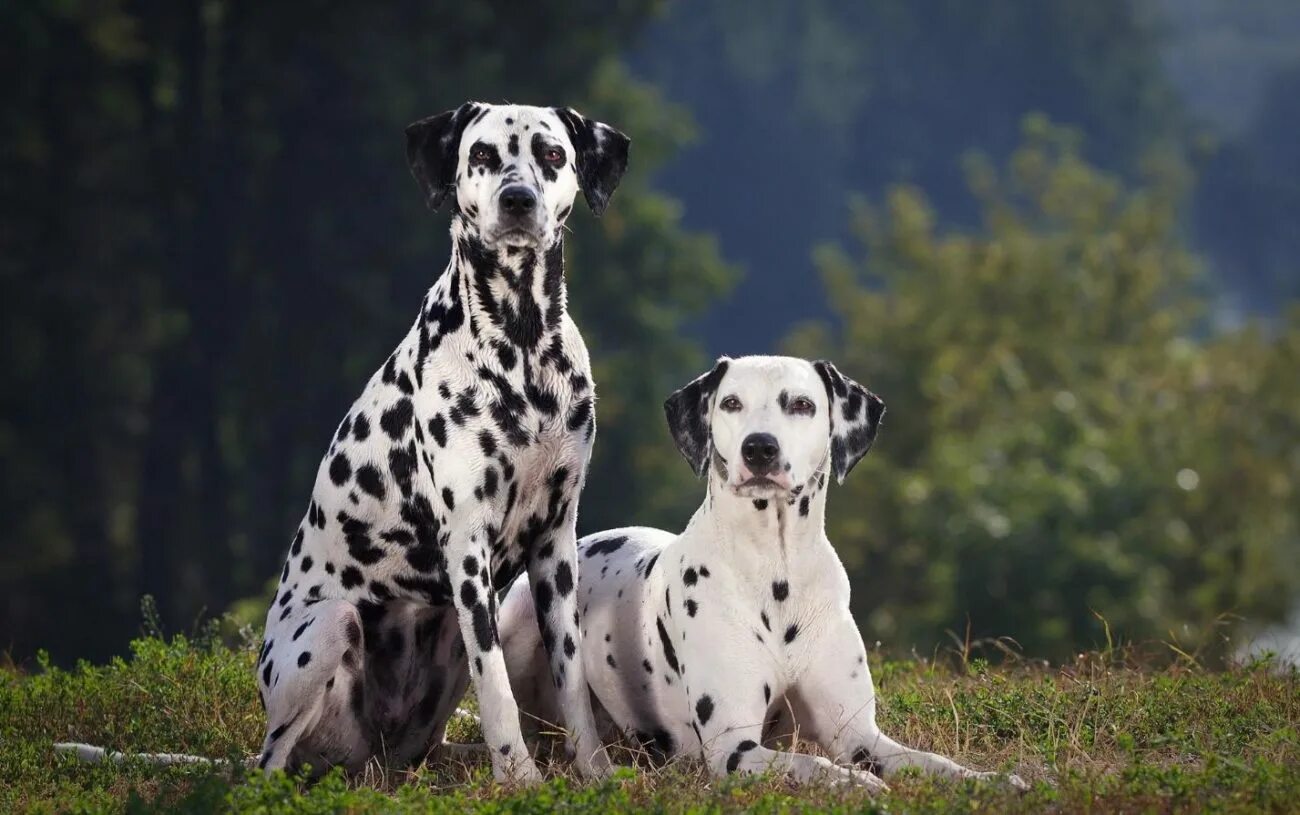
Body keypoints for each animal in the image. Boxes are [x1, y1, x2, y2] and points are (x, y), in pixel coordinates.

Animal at [249, 102, 629, 785]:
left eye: (552, 154)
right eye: (481, 154)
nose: (517, 198)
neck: (523, 346)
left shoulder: (556, 544)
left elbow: (572, 680)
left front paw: (595, 773)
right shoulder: (469, 551)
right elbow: (497, 686)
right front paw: (521, 779)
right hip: (330, 627)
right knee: (270, 761)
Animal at [496, 356, 1024, 790]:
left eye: (802, 404)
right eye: (731, 402)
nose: (759, 448)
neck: (776, 571)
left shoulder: (859, 734)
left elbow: (931, 762)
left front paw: (989, 779)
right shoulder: (733, 748)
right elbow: (811, 764)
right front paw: (855, 783)